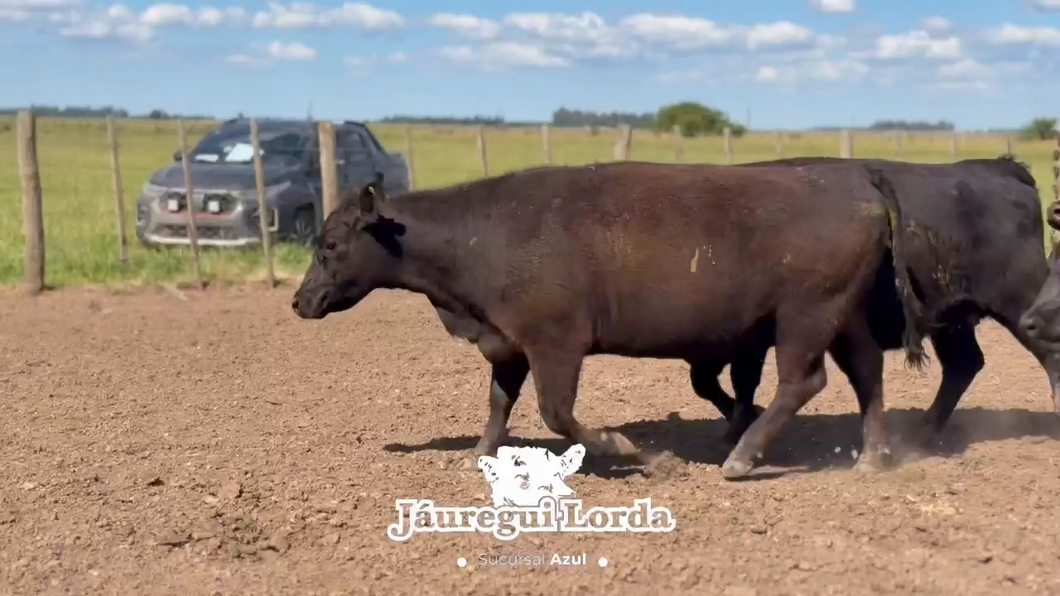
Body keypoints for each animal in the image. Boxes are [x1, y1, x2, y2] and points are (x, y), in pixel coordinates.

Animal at [290, 161, 925, 479]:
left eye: (329, 243)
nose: (299, 302)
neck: (482, 233)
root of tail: (855, 183)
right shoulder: (509, 344)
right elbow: (498, 405)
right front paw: (477, 453)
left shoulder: (556, 345)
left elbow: (557, 413)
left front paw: (632, 452)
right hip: (843, 317)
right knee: (867, 372)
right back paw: (873, 457)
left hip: (805, 316)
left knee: (803, 381)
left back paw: (742, 457)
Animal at [692, 156, 1060, 445]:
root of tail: (999, 168)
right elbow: (714, 383)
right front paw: (736, 425)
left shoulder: (749, 341)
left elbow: (733, 381)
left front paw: (738, 426)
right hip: (951, 320)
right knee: (964, 364)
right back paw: (923, 431)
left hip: (1020, 306)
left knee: (1047, 354)